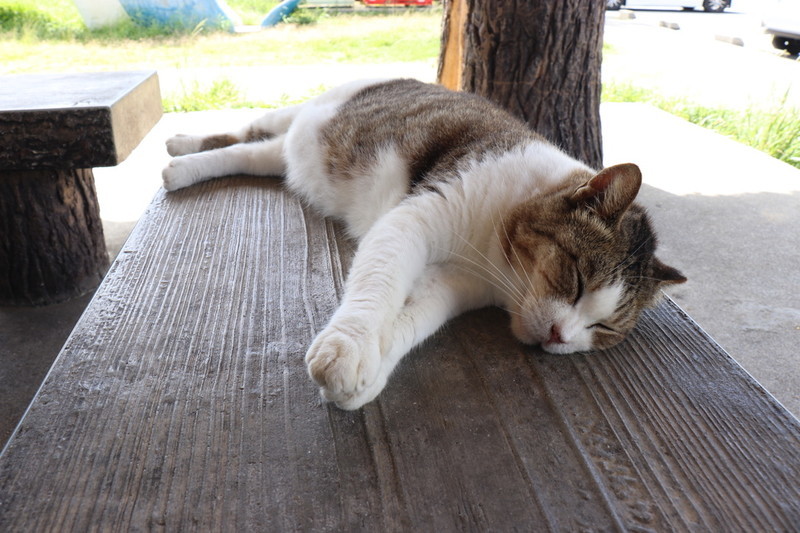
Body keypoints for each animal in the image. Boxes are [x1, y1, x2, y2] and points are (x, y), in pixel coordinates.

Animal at [164, 78, 688, 408]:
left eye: (602, 329)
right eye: (575, 280)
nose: (561, 336)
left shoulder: (453, 285)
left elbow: (413, 320)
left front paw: (368, 375)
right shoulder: (413, 220)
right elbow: (379, 285)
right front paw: (348, 349)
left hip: (287, 153)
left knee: (251, 153)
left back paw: (188, 161)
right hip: (306, 112)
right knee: (245, 131)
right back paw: (180, 151)